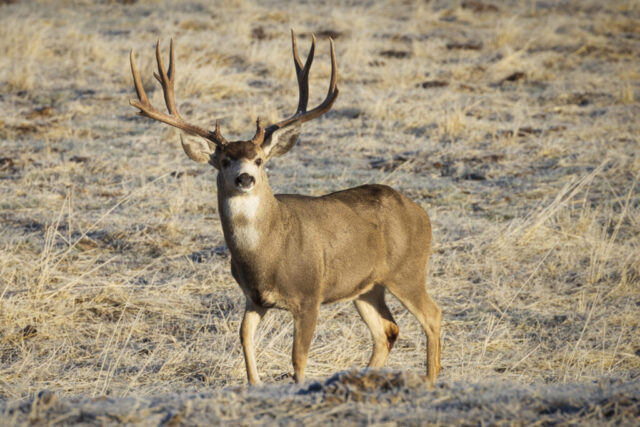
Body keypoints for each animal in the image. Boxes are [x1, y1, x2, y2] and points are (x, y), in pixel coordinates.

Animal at [128, 31, 442, 387]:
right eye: (224, 161)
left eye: (259, 160)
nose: (245, 178)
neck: (268, 254)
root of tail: (421, 212)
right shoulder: (253, 298)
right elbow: (245, 341)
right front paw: (254, 385)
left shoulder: (310, 294)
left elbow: (298, 357)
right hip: (366, 287)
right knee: (387, 330)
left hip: (408, 270)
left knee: (432, 316)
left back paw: (429, 380)